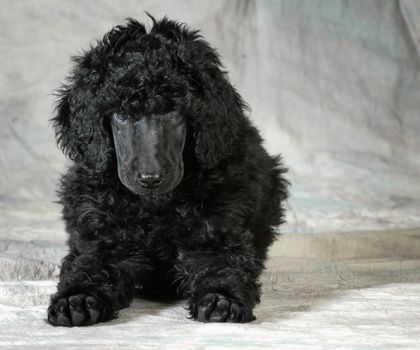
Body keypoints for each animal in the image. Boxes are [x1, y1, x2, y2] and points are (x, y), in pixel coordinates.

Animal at [46, 17, 288, 328]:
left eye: (175, 113)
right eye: (121, 115)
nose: (150, 179)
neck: (155, 205)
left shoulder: (217, 230)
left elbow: (223, 263)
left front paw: (222, 298)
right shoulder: (101, 233)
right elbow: (89, 263)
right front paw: (77, 298)